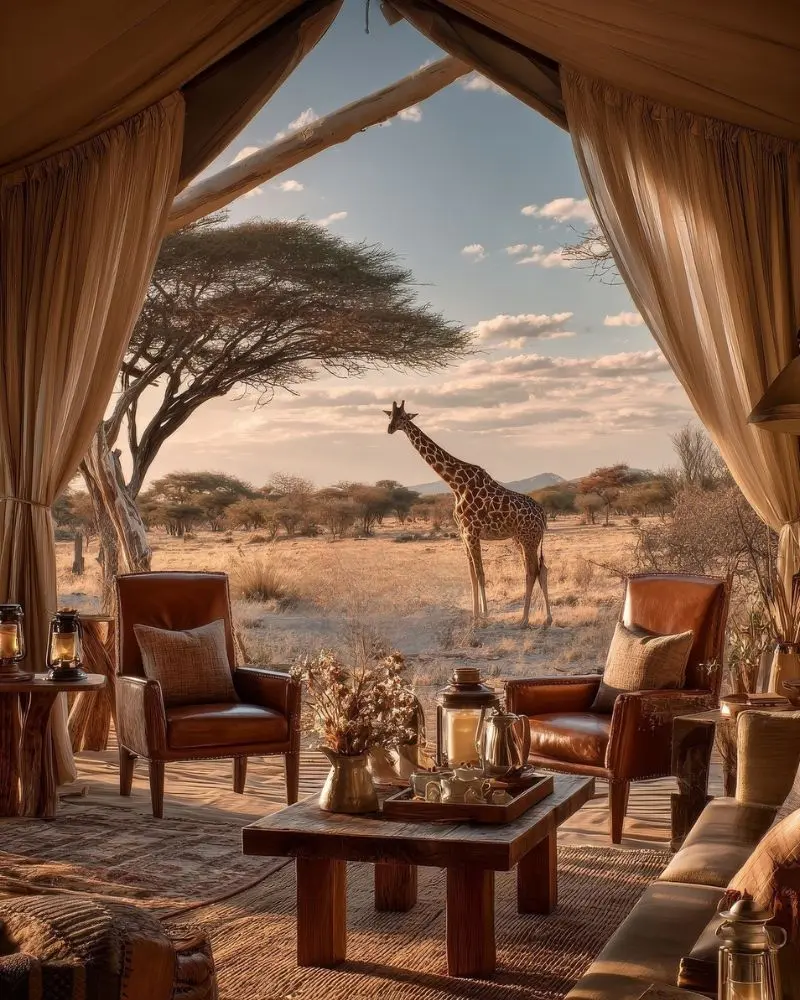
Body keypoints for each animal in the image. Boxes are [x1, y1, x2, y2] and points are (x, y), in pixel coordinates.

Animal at [384, 401, 552, 627]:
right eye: (389, 415)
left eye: (402, 417)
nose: (390, 428)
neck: (456, 483)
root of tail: (542, 514)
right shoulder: (463, 533)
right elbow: (472, 574)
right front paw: (475, 614)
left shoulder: (472, 532)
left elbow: (480, 573)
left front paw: (485, 615)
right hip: (522, 538)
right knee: (541, 570)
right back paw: (547, 619)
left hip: (528, 538)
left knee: (531, 571)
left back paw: (524, 619)